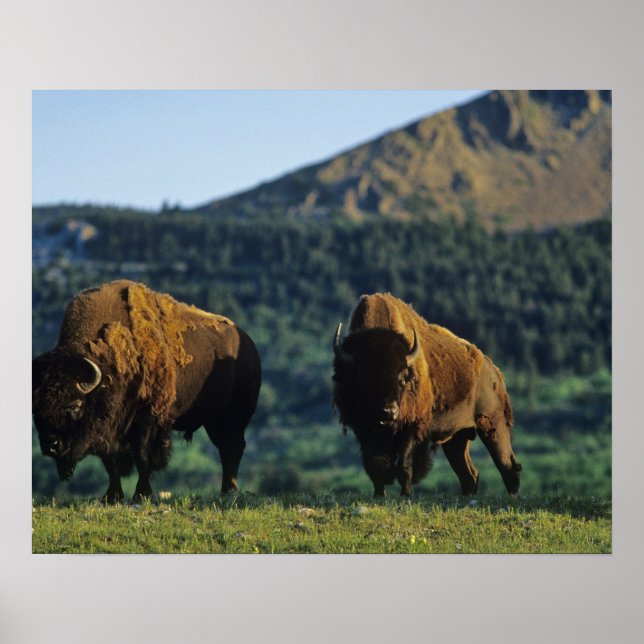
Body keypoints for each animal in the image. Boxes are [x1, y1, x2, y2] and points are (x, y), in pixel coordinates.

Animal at [32, 280, 261, 503]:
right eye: (36, 409)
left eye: (75, 405)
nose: (51, 445)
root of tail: (250, 347)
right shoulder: (109, 431)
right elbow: (111, 463)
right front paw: (111, 496)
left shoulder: (147, 420)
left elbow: (143, 457)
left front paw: (141, 493)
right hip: (213, 420)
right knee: (227, 448)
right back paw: (226, 491)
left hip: (231, 418)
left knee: (232, 448)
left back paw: (229, 491)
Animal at [332, 293, 521, 497]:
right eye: (366, 380)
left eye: (402, 380)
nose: (389, 411)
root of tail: (494, 371)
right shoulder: (365, 431)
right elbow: (376, 466)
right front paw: (379, 495)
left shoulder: (413, 428)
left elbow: (404, 465)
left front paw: (406, 495)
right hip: (457, 437)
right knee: (468, 473)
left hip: (492, 425)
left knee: (507, 465)